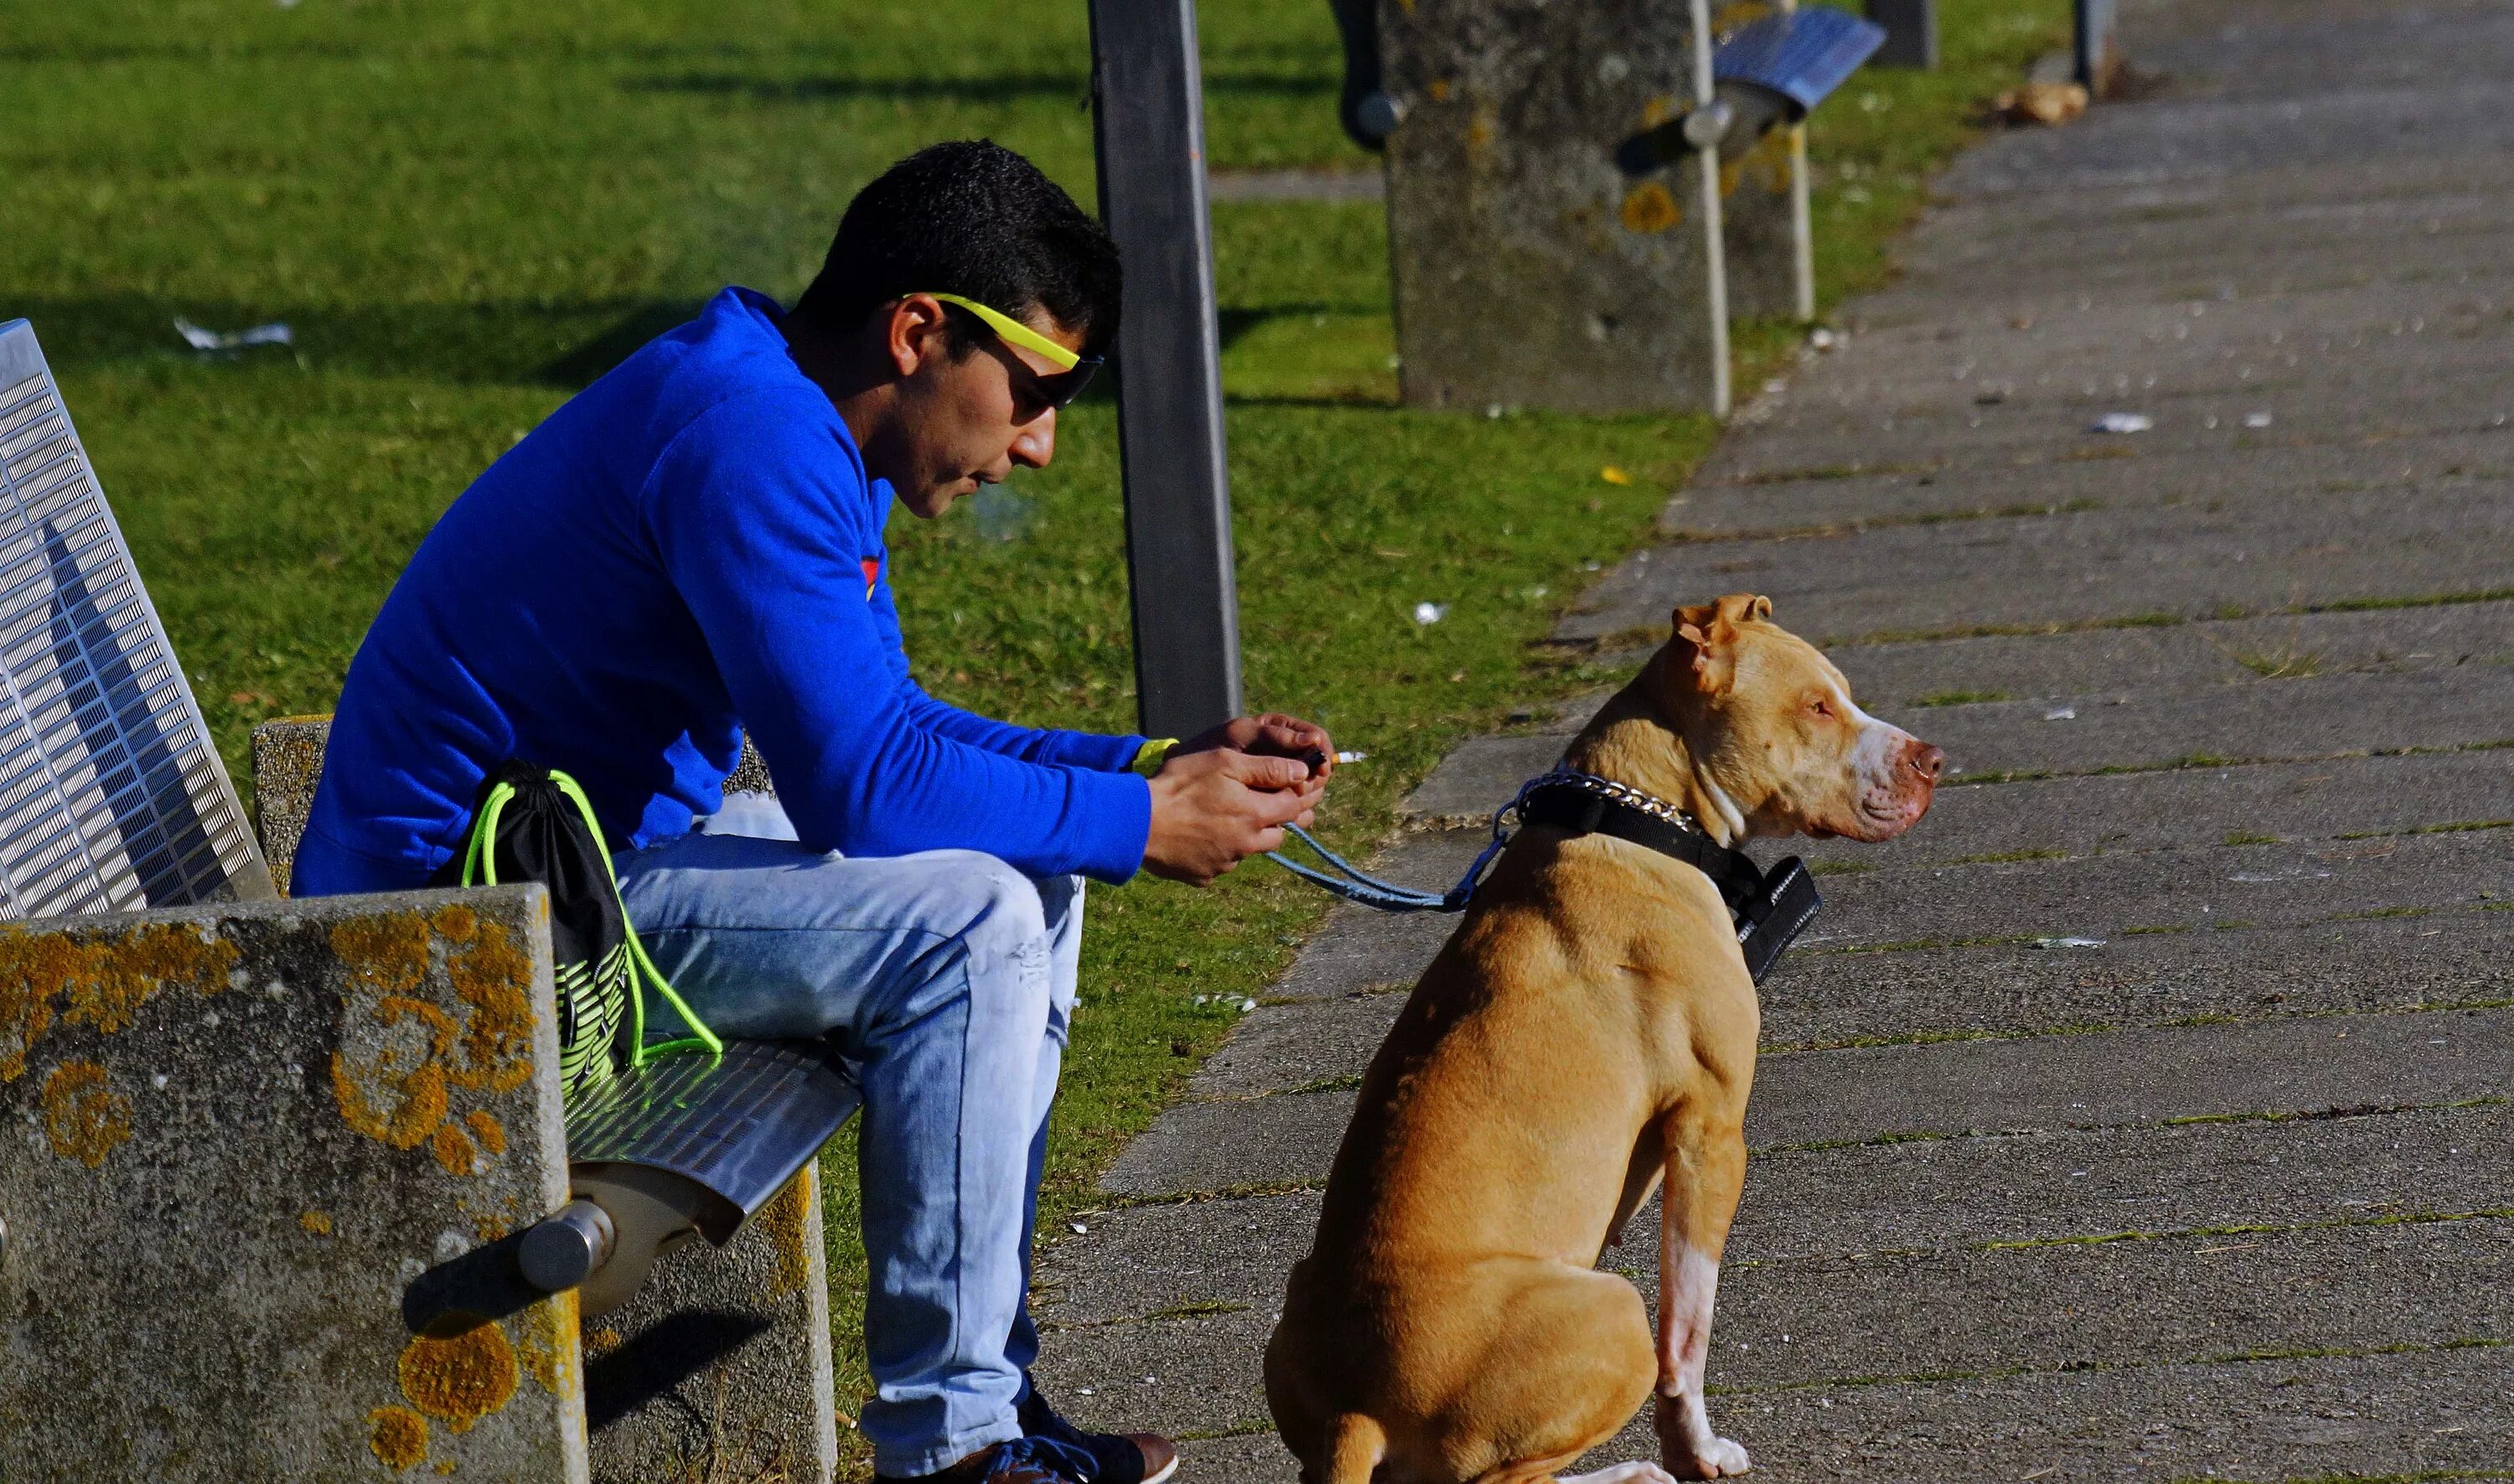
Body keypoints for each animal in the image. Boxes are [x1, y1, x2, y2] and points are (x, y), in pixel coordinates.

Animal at [1257, 596, 1941, 1484]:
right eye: (1817, 706)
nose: (1933, 760)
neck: (1636, 816)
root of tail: (1357, 1410)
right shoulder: (1711, 1135)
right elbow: (1689, 1328)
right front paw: (1698, 1449)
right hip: (1611, 1310)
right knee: (1508, 1476)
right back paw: (1635, 1472)